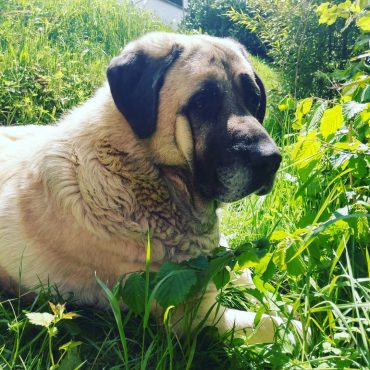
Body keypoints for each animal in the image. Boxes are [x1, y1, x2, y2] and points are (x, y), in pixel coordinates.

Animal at [0, 33, 300, 342]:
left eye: (254, 99)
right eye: (203, 103)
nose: (271, 160)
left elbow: (253, 282)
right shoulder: (195, 314)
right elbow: (278, 325)